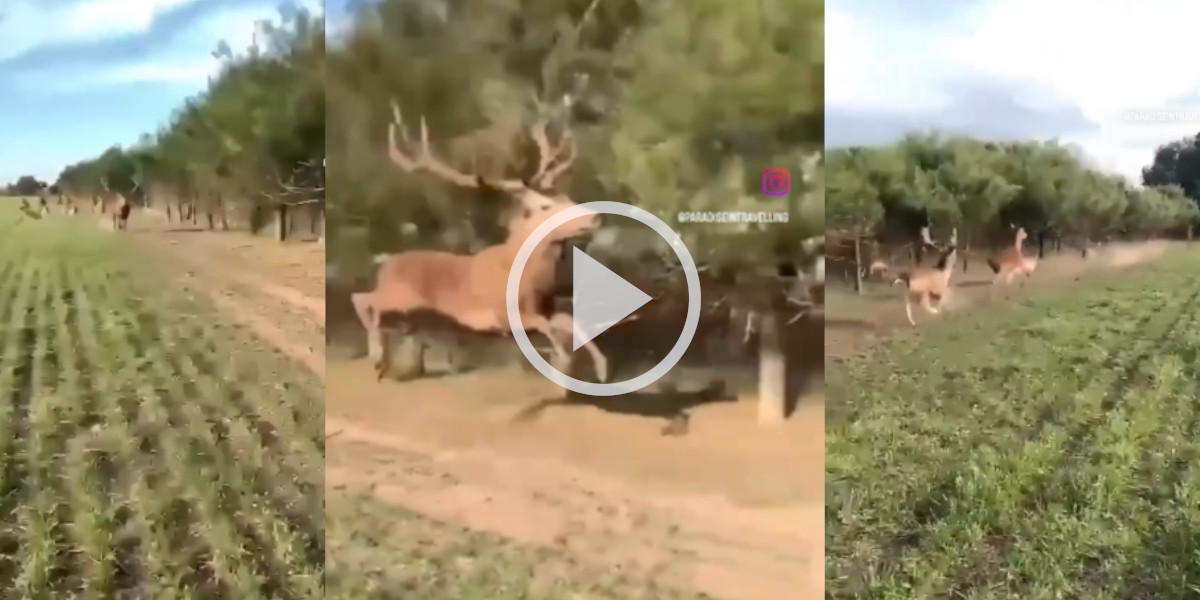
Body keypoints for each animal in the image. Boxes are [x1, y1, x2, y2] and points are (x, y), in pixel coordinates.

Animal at [350, 98, 609, 379]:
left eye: (566, 196)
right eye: (544, 206)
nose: (594, 218)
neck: (529, 279)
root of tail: (386, 263)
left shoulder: (546, 307)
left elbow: (569, 320)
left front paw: (601, 367)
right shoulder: (504, 314)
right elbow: (547, 326)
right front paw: (563, 357)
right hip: (400, 295)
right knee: (362, 298)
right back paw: (376, 356)